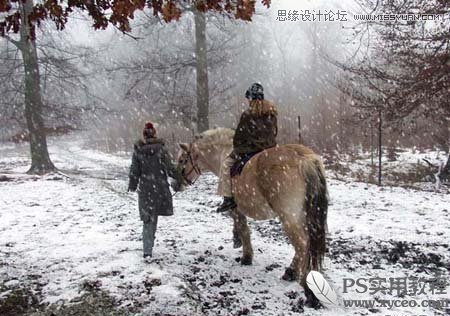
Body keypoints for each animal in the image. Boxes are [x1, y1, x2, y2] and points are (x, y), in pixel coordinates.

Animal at [175, 128, 326, 306]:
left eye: (182, 160)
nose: (175, 184)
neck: (224, 154)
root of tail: (303, 158)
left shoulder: (236, 209)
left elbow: (243, 229)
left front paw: (246, 256)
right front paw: (237, 241)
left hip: (290, 218)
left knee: (302, 245)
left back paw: (306, 288)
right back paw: (293, 274)